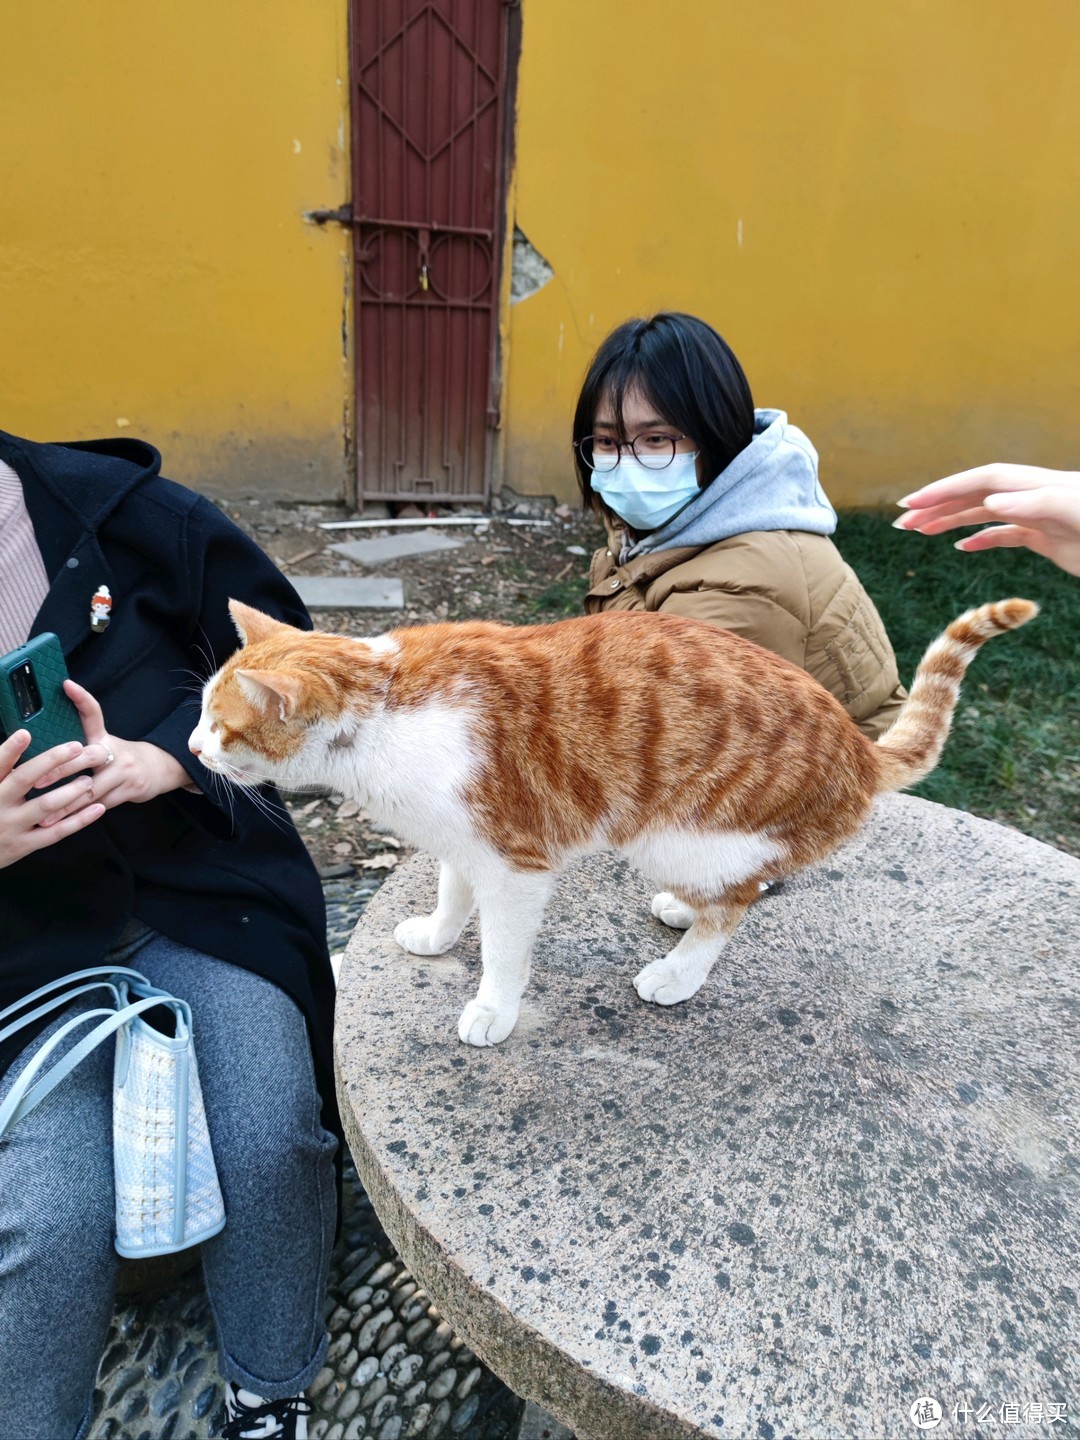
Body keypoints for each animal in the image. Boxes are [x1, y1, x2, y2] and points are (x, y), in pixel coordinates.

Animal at [192, 596, 1042, 1048]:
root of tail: (861, 751)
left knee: (735, 907)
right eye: (200, 713)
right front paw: (436, 936)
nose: (193, 748)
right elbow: (451, 896)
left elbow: (502, 951)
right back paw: (683, 911)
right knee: (749, 885)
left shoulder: (516, 864)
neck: (381, 706)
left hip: (674, 833)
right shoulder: (461, 841)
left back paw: (680, 969)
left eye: (224, 728)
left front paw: (493, 1010)